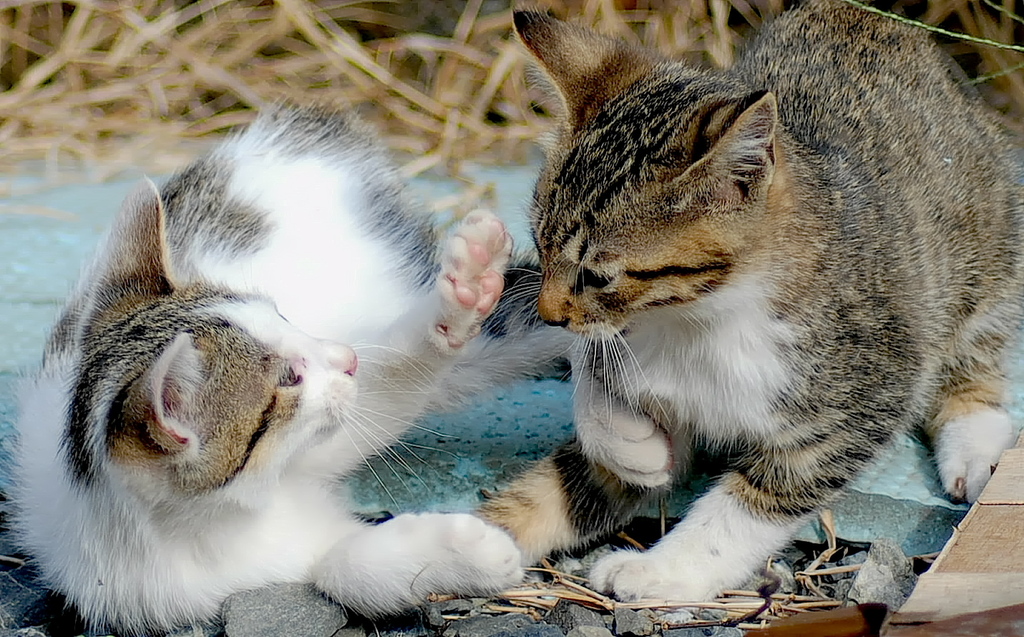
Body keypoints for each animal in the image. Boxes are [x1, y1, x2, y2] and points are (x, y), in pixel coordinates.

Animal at [479, 1, 1024, 602]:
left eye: (597, 275)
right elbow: (577, 457)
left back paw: (973, 446)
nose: (549, 313)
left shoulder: (865, 392)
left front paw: (661, 570)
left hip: (984, 254)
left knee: (976, 354)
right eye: (540, 242)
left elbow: (751, 506)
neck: (693, 320)